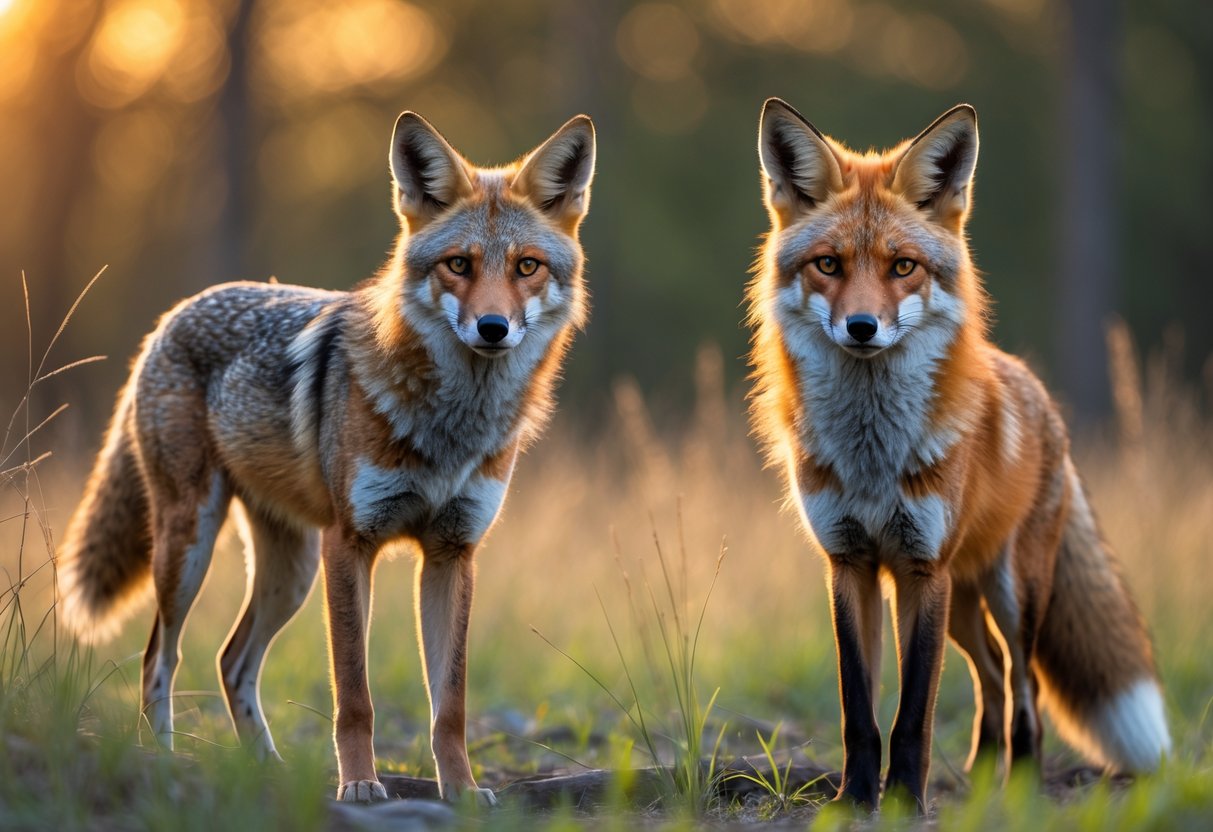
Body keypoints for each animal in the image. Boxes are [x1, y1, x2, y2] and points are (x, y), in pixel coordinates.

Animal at [57, 110, 596, 805]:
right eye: (459, 264)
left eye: (527, 266)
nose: (493, 329)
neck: (451, 429)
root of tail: (175, 313)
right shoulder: (351, 543)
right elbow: (355, 696)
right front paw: (361, 784)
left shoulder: (453, 555)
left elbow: (449, 705)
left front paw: (460, 790)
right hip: (191, 548)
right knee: (161, 657)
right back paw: (167, 761)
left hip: (289, 573)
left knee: (230, 660)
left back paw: (267, 768)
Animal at [747, 98, 1170, 811]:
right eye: (828, 265)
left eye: (903, 267)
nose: (862, 327)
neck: (872, 458)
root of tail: (1040, 394)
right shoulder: (851, 565)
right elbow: (859, 708)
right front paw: (856, 800)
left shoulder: (922, 568)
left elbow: (913, 711)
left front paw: (903, 802)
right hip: (962, 604)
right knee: (992, 675)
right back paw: (982, 779)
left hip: (1010, 593)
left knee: (1025, 685)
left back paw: (1021, 786)